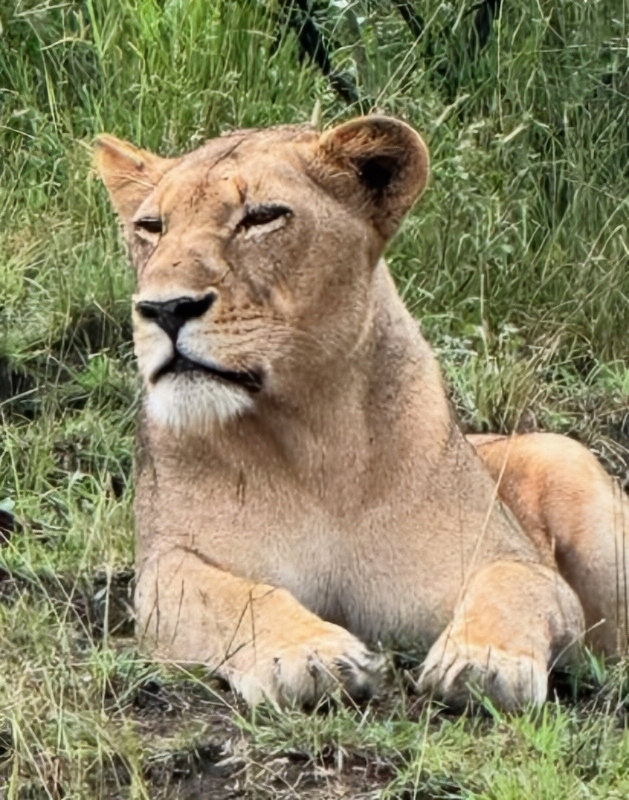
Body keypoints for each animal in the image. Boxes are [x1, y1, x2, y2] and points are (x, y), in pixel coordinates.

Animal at [95, 116, 629, 711]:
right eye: (150, 226)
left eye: (262, 217)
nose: (164, 309)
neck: (316, 441)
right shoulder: (165, 569)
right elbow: (237, 597)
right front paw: (310, 655)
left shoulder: (514, 560)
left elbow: (514, 583)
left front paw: (484, 662)